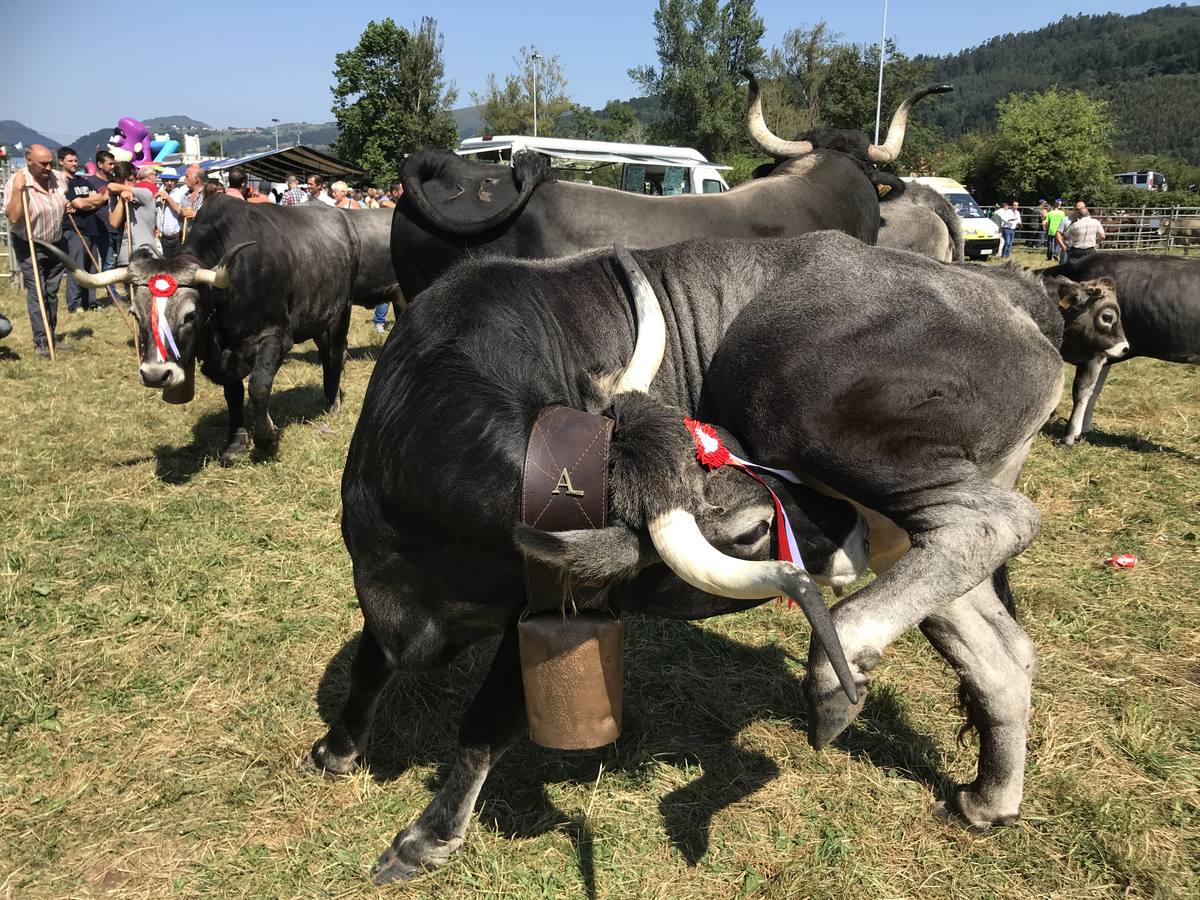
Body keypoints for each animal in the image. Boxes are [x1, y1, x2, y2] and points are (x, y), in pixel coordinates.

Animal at [42, 196, 400, 465]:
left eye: (190, 315)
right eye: (135, 313)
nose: (156, 375)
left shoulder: (275, 337)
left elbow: (258, 387)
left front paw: (266, 438)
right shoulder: (224, 356)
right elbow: (233, 395)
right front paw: (237, 441)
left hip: (341, 311)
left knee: (337, 355)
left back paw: (333, 403)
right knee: (327, 354)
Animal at [309, 230, 1123, 883]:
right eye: (753, 530)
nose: (848, 529)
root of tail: (1004, 288)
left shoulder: (541, 613)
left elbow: (483, 728)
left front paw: (424, 839)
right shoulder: (382, 596)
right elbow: (368, 666)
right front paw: (338, 748)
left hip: (823, 414)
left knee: (994, 522)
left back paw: (839, 664)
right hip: (916, 531)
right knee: (1000, 653)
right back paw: (989, 798)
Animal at [1046, 250, 1195, 448]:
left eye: (1108, 317)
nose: (1126, 347)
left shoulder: (1095, 354)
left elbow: (1082, 390)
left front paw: (1070, 435)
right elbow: (1094, 390)